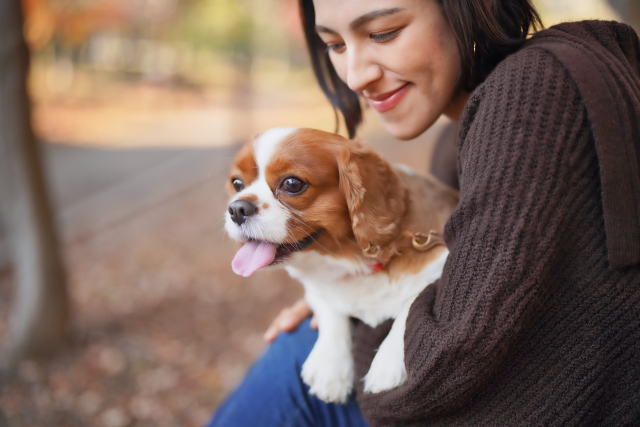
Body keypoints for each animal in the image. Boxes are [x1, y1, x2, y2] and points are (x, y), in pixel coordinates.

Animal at [222, 128, 458, 404]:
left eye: (292, 184)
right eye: (237, 184)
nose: (237, 208)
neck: (349, 259)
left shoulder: (442, 266)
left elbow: (413, 303)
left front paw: (386, 363)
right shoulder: (316, 290)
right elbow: (330, 312)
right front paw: (330, 369)